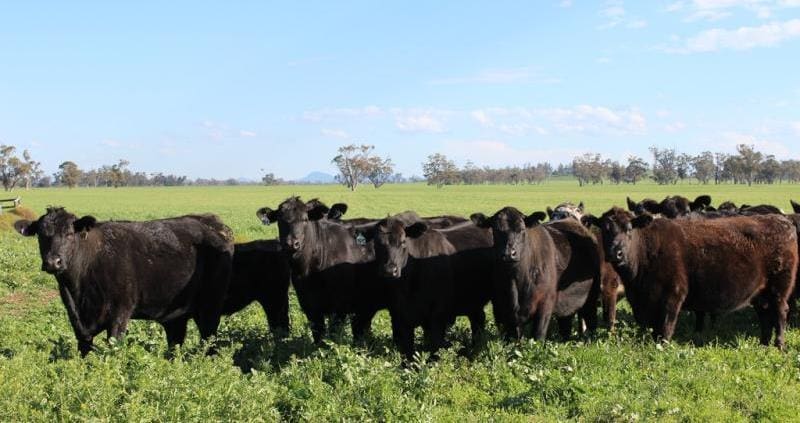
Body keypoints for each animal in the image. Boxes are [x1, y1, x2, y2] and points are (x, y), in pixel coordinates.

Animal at [14, 207, 233, 356]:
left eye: (69, 234)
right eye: (41, 236)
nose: (53, 262)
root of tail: (211, 221)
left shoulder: (119, 313)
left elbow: (113, 348)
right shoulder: (77, 319)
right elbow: (85, 350)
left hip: (210, 306)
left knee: (209, 339)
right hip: (175, 314)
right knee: (176, 342)